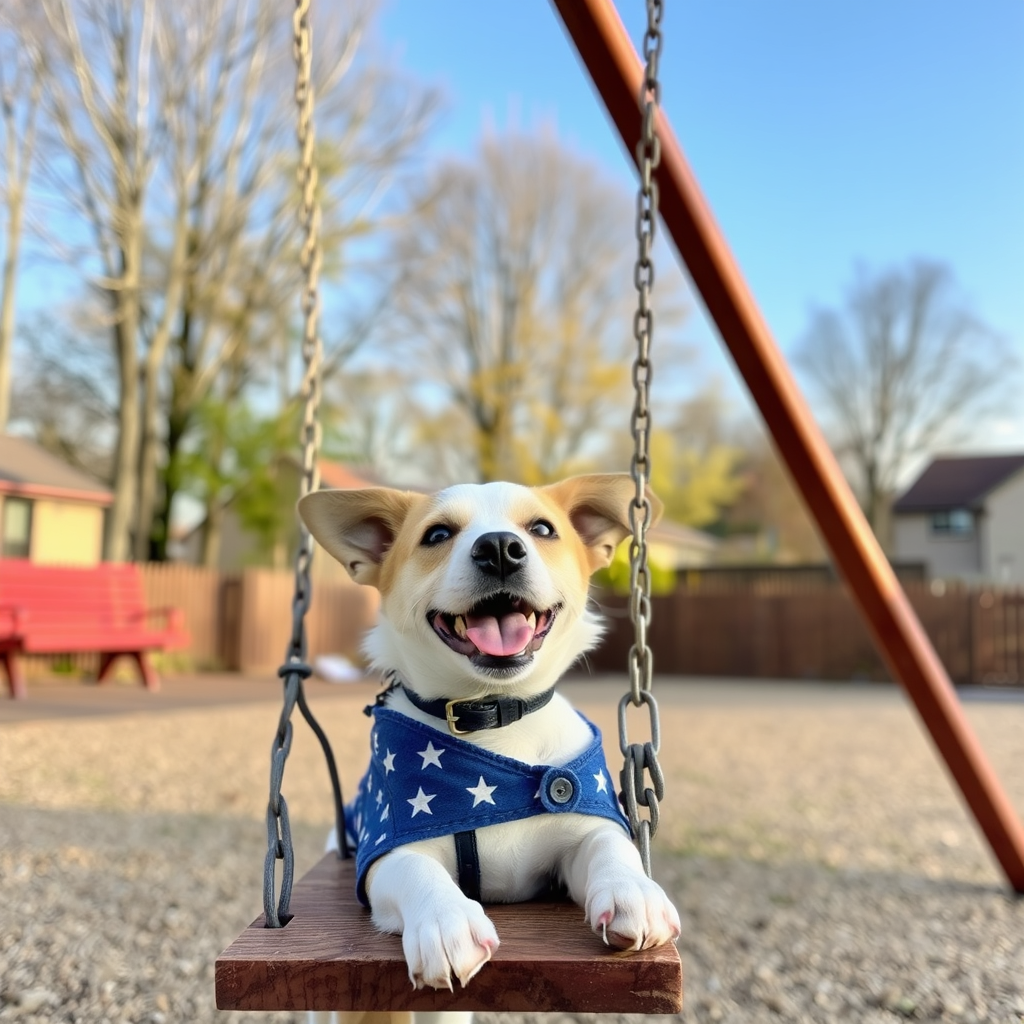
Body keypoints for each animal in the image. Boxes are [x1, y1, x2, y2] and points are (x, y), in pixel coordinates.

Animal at [296, 475, 679, 995]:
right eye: (437, 535)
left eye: (542, 528)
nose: (499, 547)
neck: (492, 718)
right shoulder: (386, 848)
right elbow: (416, 868)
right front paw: (445, 920)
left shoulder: (582, 826)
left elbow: (610, 844)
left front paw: (634, 890)